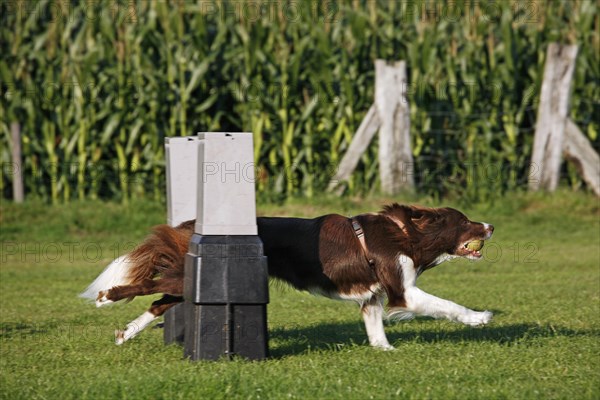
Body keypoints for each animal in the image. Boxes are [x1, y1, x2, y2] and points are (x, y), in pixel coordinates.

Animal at [79, 205, 492, 348]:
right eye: (464, 221)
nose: (490, 226)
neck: (406, 234)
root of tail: (189, 226)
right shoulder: (402, 291)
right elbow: (447, 305)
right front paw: (480, 317)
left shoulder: (372, 297)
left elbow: (376, 330)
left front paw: (384, 352)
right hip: (184, 277)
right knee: (147, 286)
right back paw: (105, 298)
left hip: (186, 281)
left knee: (158, 301)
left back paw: (125, 333)